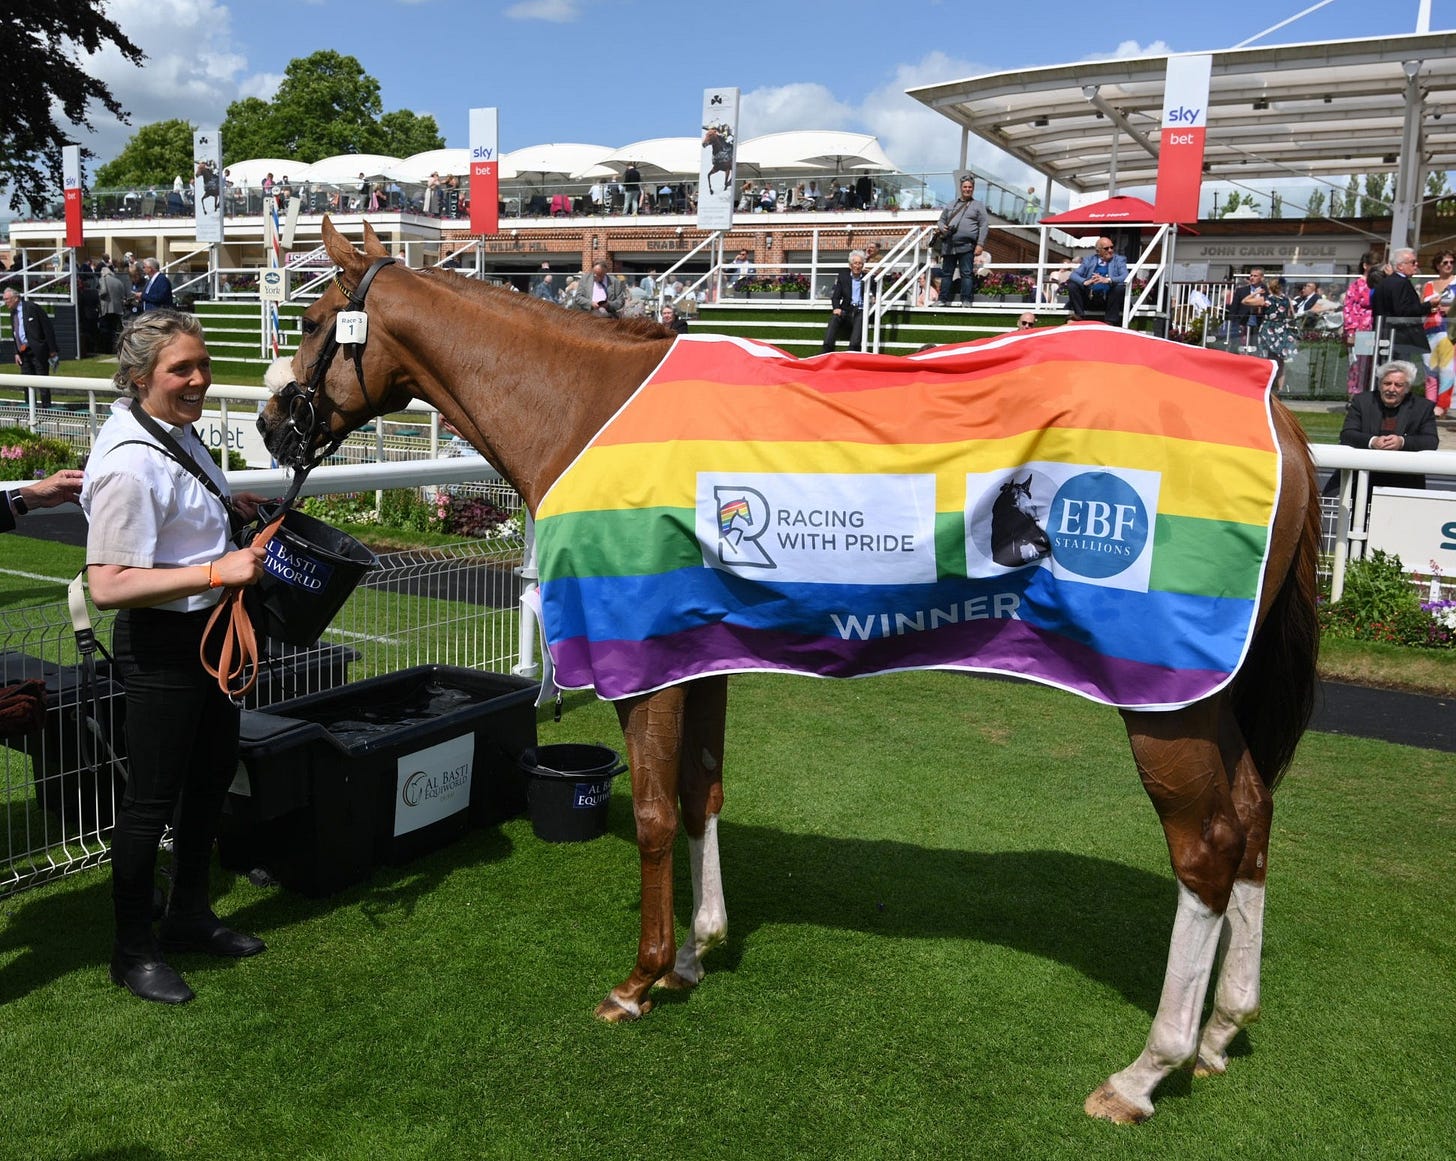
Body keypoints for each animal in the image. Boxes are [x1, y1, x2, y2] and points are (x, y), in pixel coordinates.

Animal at [258, 219, 1321, 1125]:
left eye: (310, 323)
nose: (272, 429)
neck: (588, 407)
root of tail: (1275, 407)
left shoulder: (644, 658)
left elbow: (655, 813)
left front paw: (640, 979)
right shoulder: (698, 651)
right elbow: (702, 793)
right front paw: (697, 953)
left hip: (1165, 700)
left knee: (1208, 848)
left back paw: (1148, 1067)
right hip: (1210, 695)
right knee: (1255, 815)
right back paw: (1224, 1029)